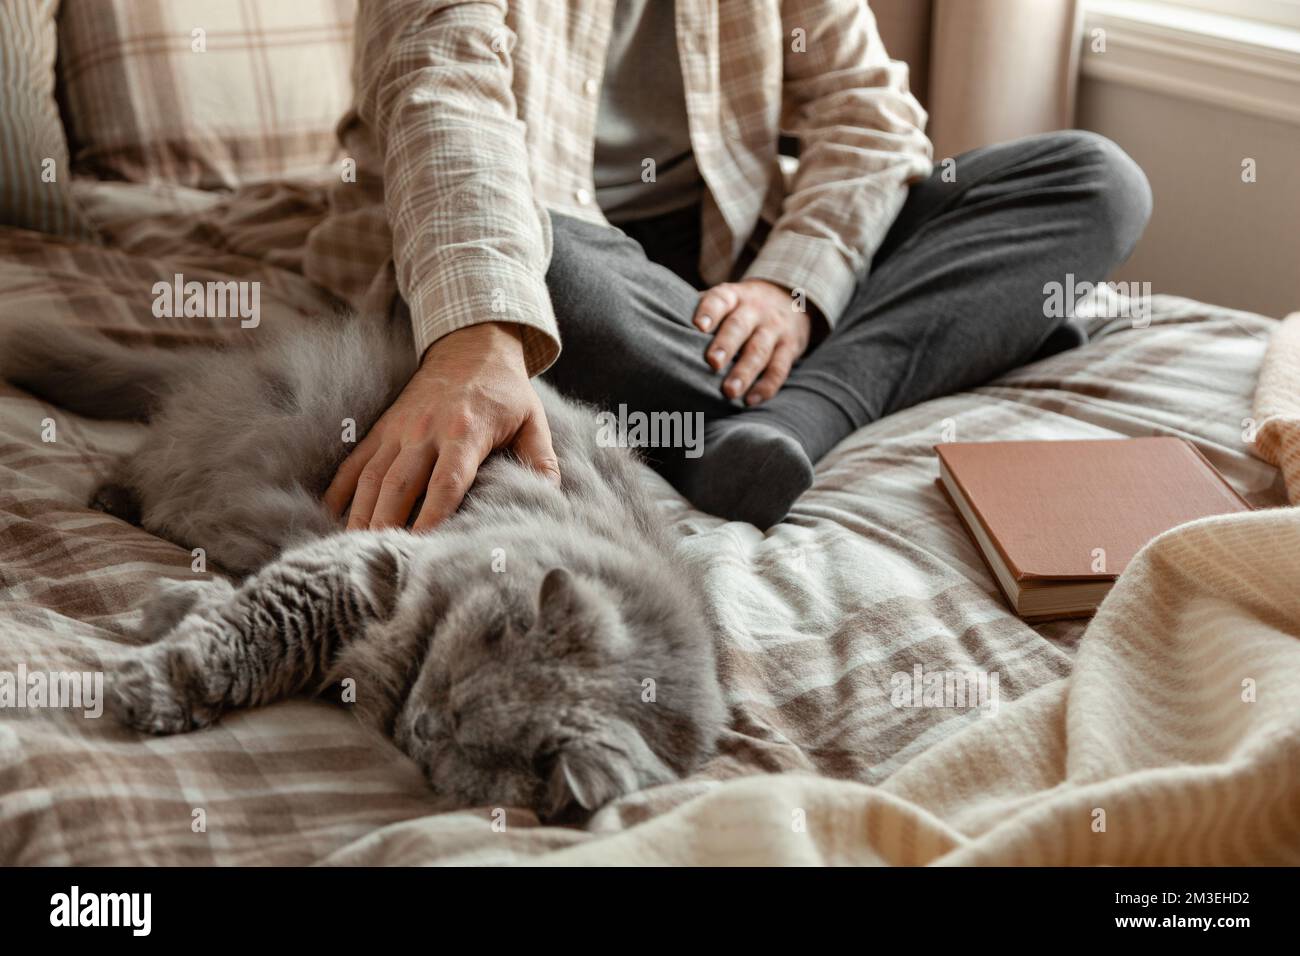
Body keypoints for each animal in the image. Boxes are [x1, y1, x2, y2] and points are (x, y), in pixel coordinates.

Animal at [5, 314, 728, 822]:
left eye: (465, 744)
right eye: (454, 689)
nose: (423, 724)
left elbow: (241, 620)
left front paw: (176, 615)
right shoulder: (369, 562)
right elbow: (248, 627)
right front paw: (160, 681)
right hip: (250, 439)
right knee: (152, 461)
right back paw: (113, 499)